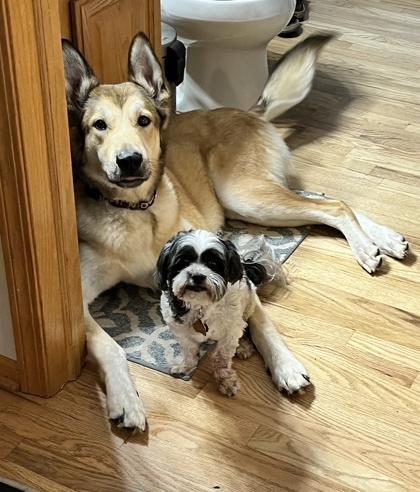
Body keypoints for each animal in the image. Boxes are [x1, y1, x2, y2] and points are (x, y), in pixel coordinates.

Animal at [154, 230, 278, 396]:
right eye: (183, 262)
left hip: (247, 306)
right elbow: (189, 350)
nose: (197, 275)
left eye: (213, 264)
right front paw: (185, 365)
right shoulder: (180, 330)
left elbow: (222, 357)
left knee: (243, 327)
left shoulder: (229, 332)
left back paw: (243, 345)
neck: (200, 304)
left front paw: (226, 380)